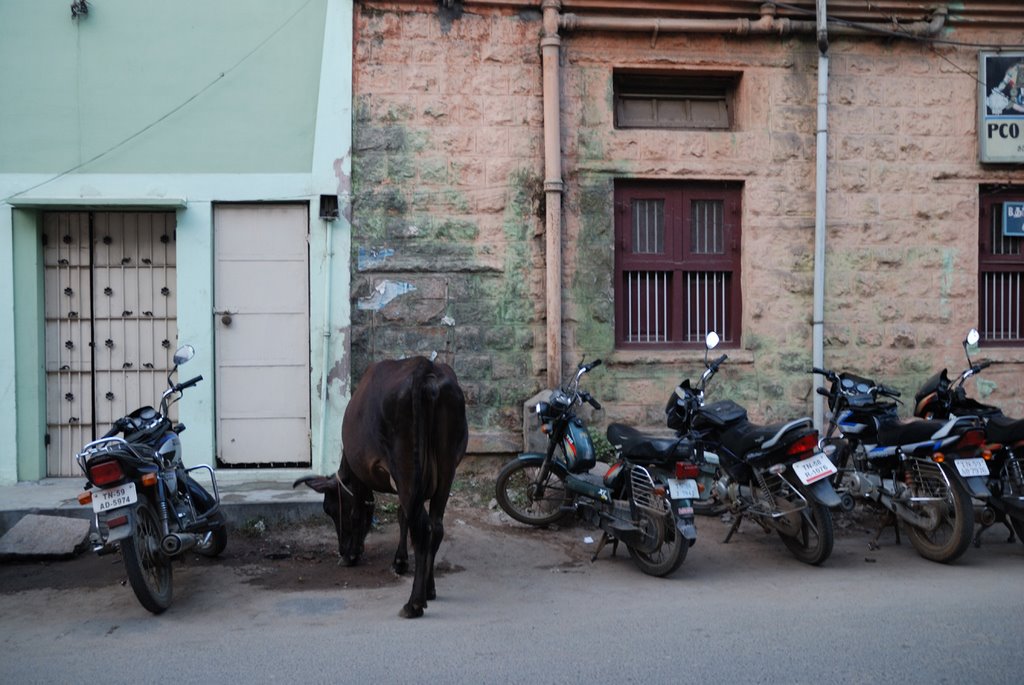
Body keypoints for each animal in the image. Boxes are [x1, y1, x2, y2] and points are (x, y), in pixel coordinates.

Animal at [292, 356, 468, 618]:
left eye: (329, 509)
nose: (341, 549)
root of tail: (425, 367)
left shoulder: (360, 475)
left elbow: (358, 513)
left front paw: (352, 555)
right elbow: (401, 515)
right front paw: (400, 561)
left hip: (406, 467)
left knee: (422, 529)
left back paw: (414, 603)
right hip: (446, 470)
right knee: (435, 527)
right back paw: (429, 589)